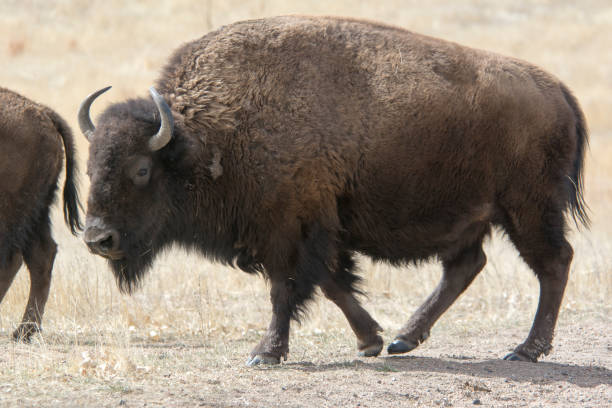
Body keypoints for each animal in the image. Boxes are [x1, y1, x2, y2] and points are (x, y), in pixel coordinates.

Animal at [0, 87, 82, 342]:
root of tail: (44, 113)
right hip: (38, 208)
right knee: (42, 255)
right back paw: (24, 331)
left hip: (14, 209)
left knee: (15, 257)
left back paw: (22, 331)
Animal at [77, 15, 588, 364]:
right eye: (89, 166)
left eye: (141, 169)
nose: (98, 239)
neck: (206, 134)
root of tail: (560, 92)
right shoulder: (315, 228)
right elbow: (332, 282)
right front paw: (370, 341)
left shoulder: (287, 230)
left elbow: (286, 289)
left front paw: (265, 353)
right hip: (476, 216)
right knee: (466, 267)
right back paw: (404, 339)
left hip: (527, 210)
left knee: (554, 263)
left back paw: (525, 349)